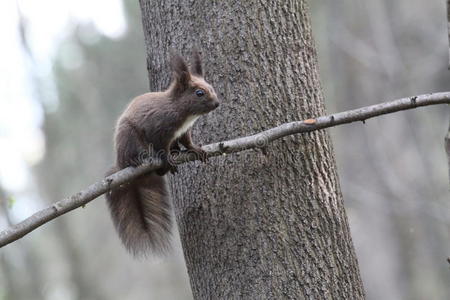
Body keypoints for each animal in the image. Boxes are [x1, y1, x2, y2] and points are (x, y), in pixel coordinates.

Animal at [105, 50, 218, 256]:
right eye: (199, 93)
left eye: (211, 87)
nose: (217, 103)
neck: (182, 112)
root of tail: (120, 163)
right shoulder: (157, 129)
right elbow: (160, 146)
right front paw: (166, 158)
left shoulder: (183, 131)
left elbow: (187, 141)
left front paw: (195, 149)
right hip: (129, 137)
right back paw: (141, 160)